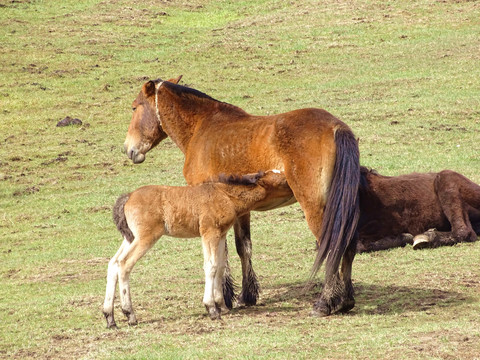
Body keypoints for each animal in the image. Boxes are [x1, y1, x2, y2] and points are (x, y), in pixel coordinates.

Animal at [124, 75, 360, 316]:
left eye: (134, 107)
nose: (129, 150)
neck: (202, 127)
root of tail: (336, 127)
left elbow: (222, 254)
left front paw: (224, 297)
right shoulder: (240, 209)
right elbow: (243, 248)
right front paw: (246, 295)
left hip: (315, 208)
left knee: (330, 245)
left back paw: (325, 303)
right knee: (347, 245)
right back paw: (346, 300)